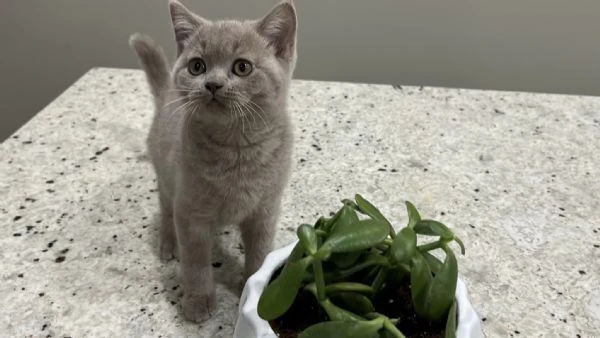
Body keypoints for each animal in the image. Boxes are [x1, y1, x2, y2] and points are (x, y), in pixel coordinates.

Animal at [128, 0, 296, 322]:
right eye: (197, 66)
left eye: (242, 67)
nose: (213, 84)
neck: (237, 150)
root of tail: (166, 92)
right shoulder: (190, 213)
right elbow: (195, 263)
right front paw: (198, 301)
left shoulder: (266, 207)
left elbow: (260, 251)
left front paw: (253, 286)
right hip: (166, 179)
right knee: (166, 210)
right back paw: (167, 242)